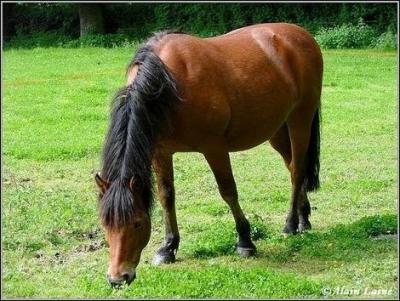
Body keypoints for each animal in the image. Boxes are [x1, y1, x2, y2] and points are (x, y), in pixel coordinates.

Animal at [95, 23, 324, 286]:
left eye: (137, 223)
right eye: (105, 223)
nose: (118, 277)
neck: (168, 83)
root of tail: (302, 35)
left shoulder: (214, 147)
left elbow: (228, 192)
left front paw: (245, 241)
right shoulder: (160, 152)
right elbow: (166, 196)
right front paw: (168, 247)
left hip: (300, 120)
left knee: (297, 171)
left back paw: (290, 224)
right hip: (277, 129)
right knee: (293, 166)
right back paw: (303, 218)